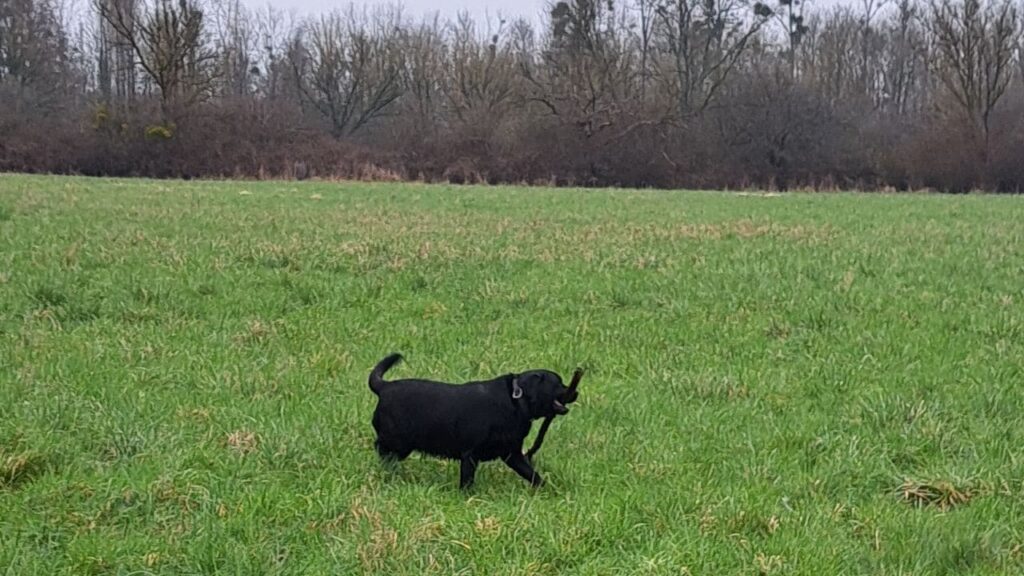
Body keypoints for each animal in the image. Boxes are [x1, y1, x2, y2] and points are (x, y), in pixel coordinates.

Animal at [368, 352, 577, 485]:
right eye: (558, 383)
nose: (576, 392)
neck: (516, 401)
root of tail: (384, 387)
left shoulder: (512, 454)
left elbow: (532, 474)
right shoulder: (470, 454)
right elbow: (467, 480)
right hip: (398, 440)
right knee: (379, 447)